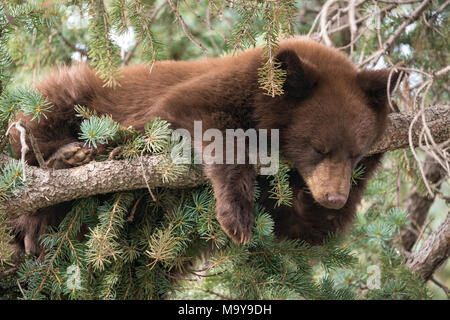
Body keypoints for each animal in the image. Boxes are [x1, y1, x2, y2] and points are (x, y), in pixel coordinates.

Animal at [7, 38, 400, 258]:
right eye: (318, 148)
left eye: (356, 154)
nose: (334, 197)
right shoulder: (216, 88)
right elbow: (194, 114)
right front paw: (237, 214)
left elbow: (303, 228)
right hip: (74, 93)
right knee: (39, 120)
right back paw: (57, 170)